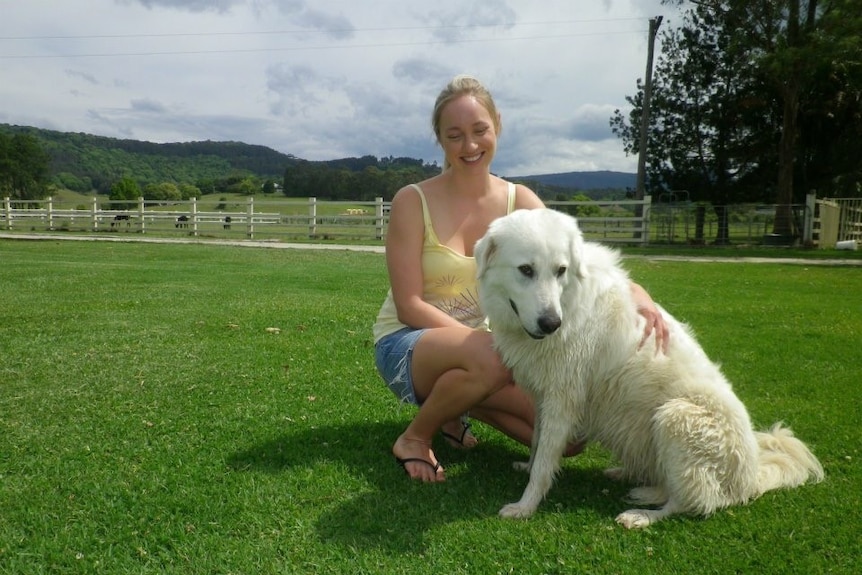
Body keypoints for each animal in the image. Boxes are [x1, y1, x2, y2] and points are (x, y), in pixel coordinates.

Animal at [476, 209, 828, 528]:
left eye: (560, 270)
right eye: (526, 270)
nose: (551, 323)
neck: (569, 301)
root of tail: (751, 476)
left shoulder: (563, 400)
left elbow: (545, 462)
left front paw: (525, 506)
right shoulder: (543, 397)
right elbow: (537, 444)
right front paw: (526, 467)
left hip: (675, 416)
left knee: (693, 502)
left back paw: (641, 515)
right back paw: (635, 484)